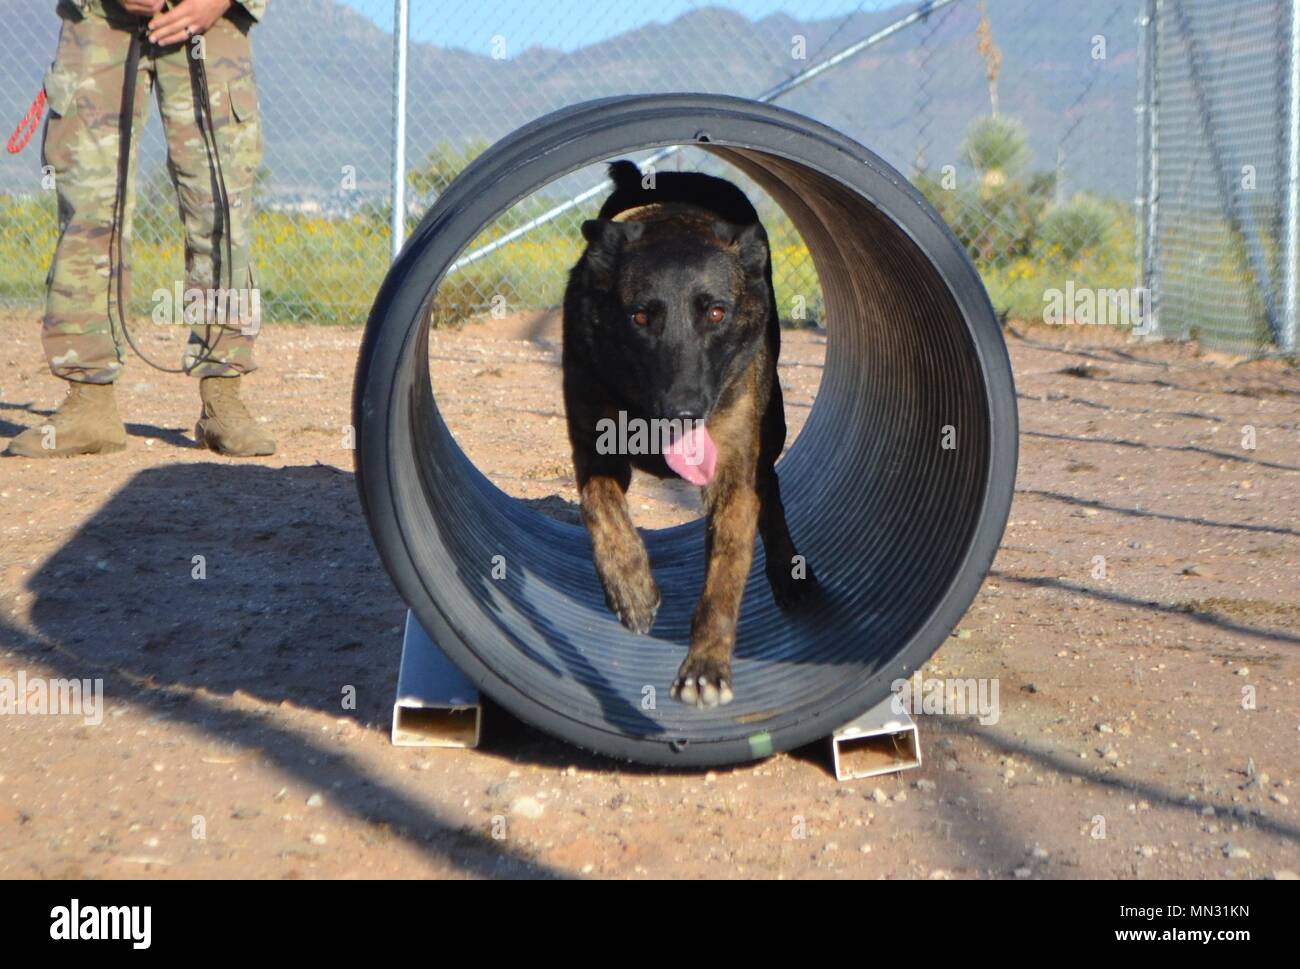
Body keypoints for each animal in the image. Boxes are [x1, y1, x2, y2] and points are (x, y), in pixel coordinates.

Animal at [564, 156, 816, 702]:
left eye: (716, 312)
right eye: (640, 317)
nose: (683, 413)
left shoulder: (730, 476)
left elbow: (723, 579)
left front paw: (706, 665)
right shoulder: (595, 446)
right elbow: (599, 507)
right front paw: (631, 587)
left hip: (770, 425)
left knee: (771, 486)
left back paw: (788, 572)